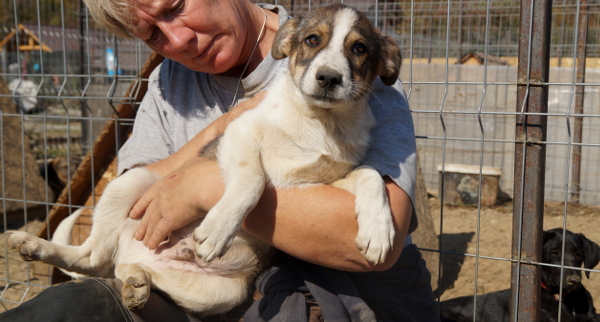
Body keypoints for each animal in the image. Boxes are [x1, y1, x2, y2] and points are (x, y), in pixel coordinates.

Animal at [5, 4, 404, 316]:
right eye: (312, 40)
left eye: (359, 48)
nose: (329, 78)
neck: (320, 121)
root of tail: (132, 248)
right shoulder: (239, 134)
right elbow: (252, 181)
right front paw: (217, 230)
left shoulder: (325, 179)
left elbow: (371, 173)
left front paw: (378, 230)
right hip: (131, 182)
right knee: (91, 257)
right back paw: (32, 244)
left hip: (222, 294)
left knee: (120, 268)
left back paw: (137, 281)